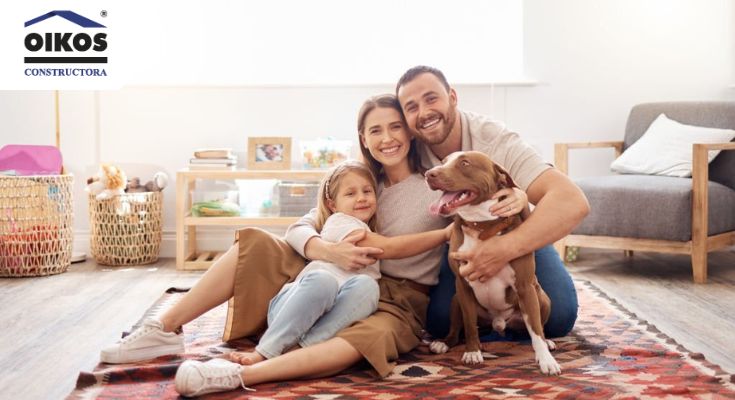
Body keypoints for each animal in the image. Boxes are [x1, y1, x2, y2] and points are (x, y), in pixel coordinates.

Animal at [426, 150, 564, 376]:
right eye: (443, 162)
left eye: (465, 163)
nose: (429, 174)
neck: (482, 226)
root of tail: (498, 325)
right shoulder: (462, 286)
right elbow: (469, 325)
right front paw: (473, 352)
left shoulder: (525, 286)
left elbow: (535, 330)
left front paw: (546, 360)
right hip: (456, 300)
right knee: (457, 329)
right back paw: (444, 343)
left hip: (542, 298)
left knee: (536, 329)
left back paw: (548, 342)